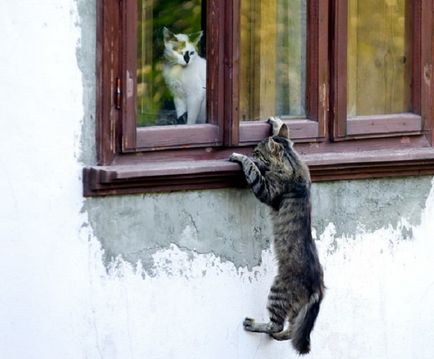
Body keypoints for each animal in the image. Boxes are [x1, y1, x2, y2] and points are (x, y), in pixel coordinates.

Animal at [229, 117, 324, 354]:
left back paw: (255, 325)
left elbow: (252, 170)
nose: (250, 152)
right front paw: (276, 123)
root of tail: (318, 287)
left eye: (256, 151)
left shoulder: (267, 190)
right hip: (296, 310)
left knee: (277, 324)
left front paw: (240, 157)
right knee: (290, 331)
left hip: (278, 291)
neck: (292, 162)